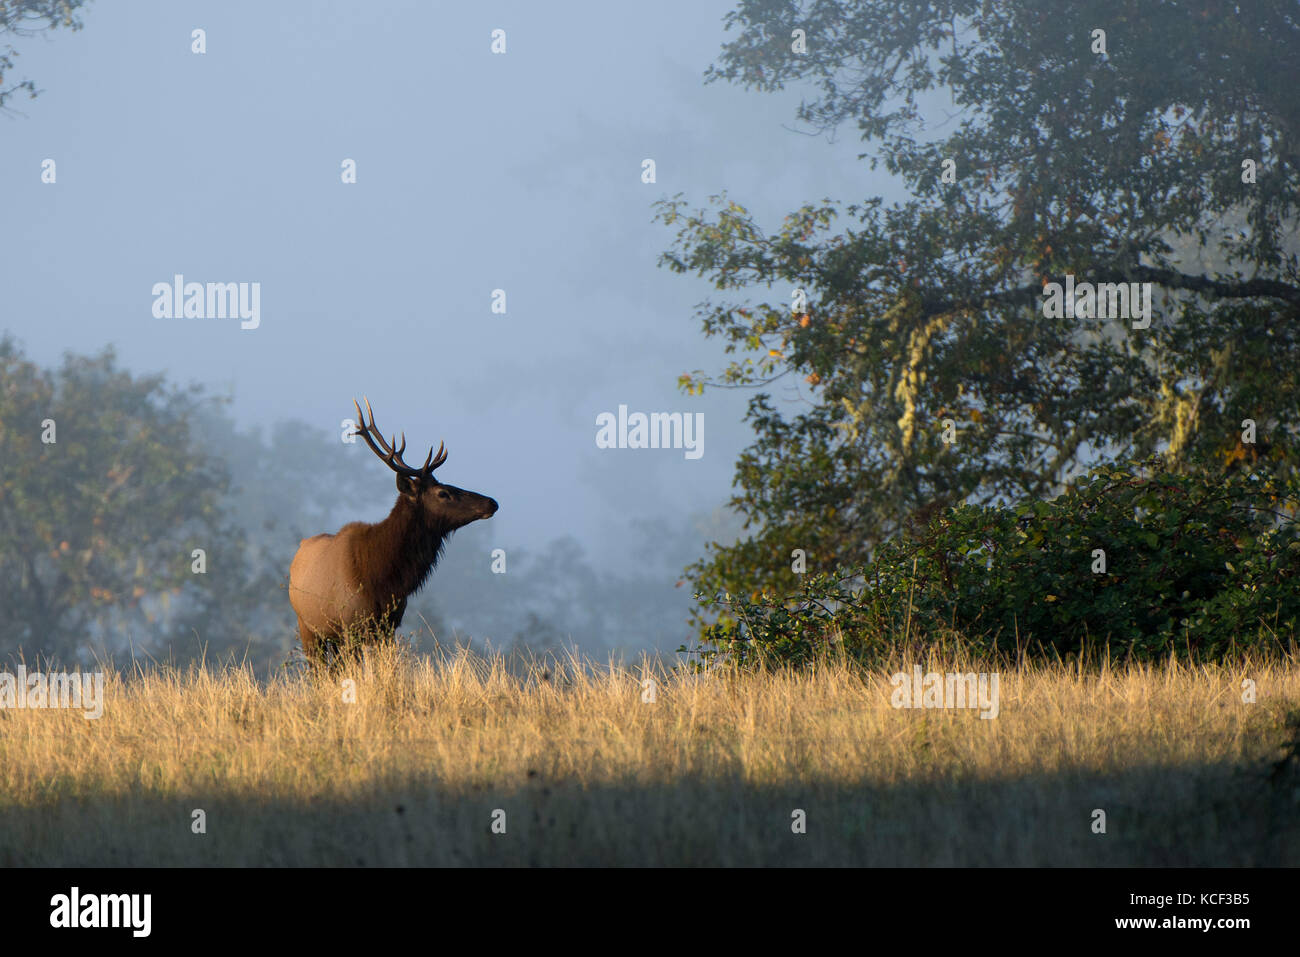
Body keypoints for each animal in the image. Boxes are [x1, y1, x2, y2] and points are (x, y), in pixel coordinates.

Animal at [288, 397, 498, 662]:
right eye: (443, 493)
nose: (492, 502)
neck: (383, 579)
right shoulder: (351, 625)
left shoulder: (389, 626)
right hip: (307, 627)